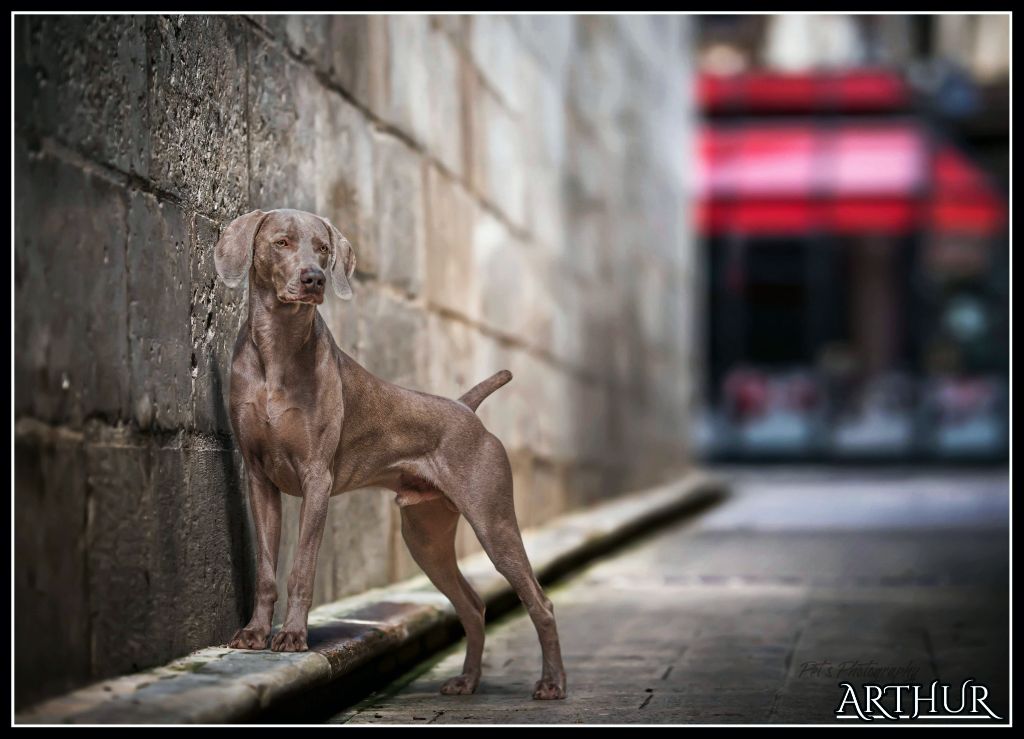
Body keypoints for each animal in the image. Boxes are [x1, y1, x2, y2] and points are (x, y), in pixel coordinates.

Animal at [216, 205, 569, 696]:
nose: (313, 278)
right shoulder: (258, 478)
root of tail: (465, 408)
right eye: (281, 242)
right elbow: (267, 570)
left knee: (539, 602)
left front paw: (292, 636)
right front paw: (253, 634)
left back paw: (552, 684)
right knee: (473, 605)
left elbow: (301, 567)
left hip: (493, 521)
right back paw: (467, 681)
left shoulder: (316, 479)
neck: (278, 350)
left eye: (322, 248)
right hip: (425, 536)